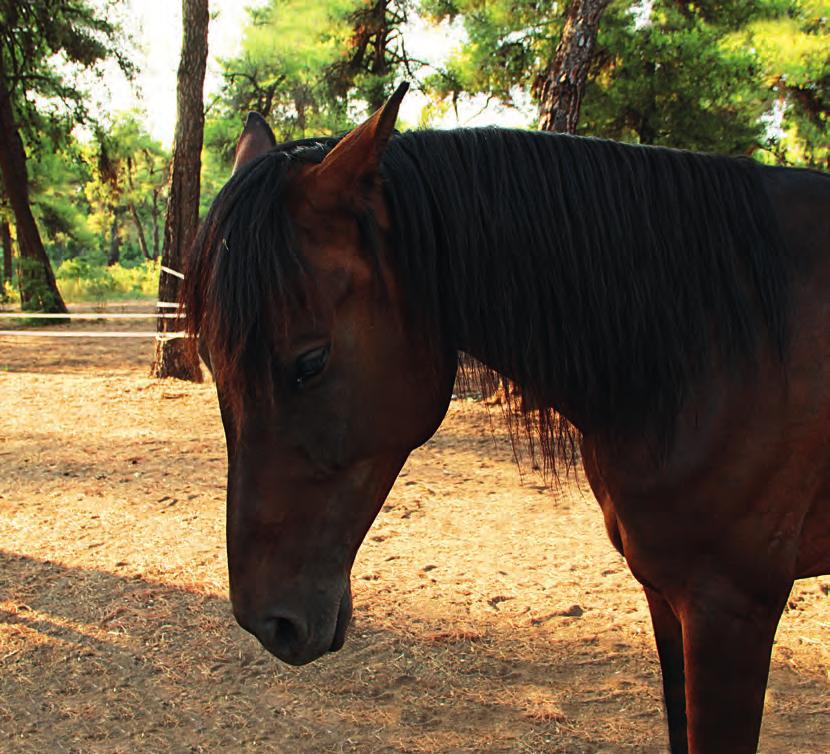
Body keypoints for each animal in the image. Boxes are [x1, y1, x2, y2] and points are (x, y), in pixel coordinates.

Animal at [185, 85, 830, 748]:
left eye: (310, 362)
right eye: (209, 357)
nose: (269, 622)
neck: (719, 341)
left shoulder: (729, 610)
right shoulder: (667, 597)